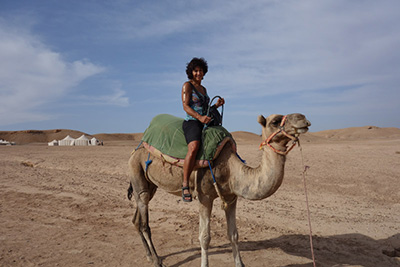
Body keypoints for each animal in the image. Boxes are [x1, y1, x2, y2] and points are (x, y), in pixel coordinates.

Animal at [128, 113, 312, 267]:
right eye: (275, 121)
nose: (303, 118)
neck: (230, 169)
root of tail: (137, 148)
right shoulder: (204, 197)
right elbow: (204, 237)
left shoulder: (231, 197)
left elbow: (233, 234)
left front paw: (240, 264)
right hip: (137, 171)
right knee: (144, 223)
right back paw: (157, 260)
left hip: (150, 185)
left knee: (136, 219)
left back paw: (149, 255)